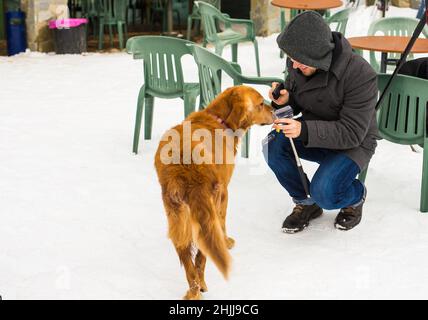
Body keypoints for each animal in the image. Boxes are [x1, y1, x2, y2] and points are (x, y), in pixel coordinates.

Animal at [155, 85, 274, 300]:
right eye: (261, 103)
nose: (275, 111)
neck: (220, 120)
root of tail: (186, 167)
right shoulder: (225, 193)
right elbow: (223, 225)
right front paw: (226, 242)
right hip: (209, 208)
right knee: (202, 255)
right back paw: (201, 283)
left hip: (176, 215)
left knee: (188, 262)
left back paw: (194, 290)